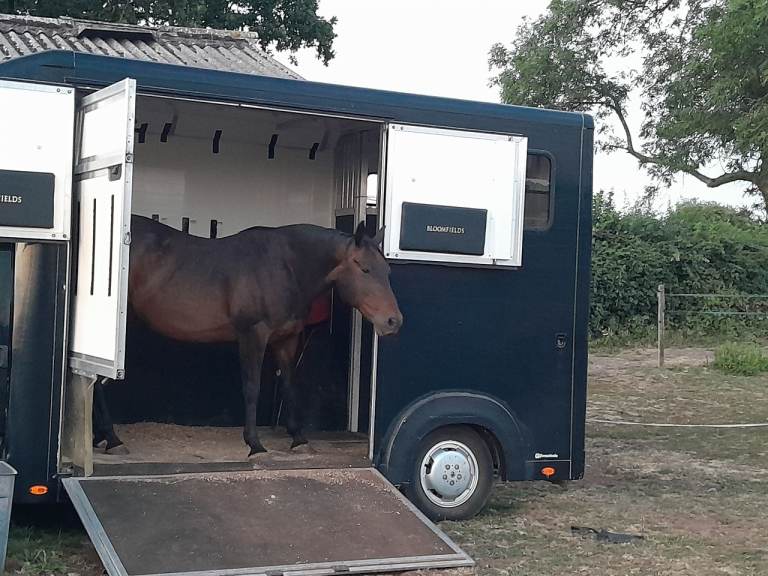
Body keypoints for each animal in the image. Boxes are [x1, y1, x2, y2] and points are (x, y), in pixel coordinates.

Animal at [93, 215, 402, 457]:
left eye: (387, 270)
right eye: (364, 268)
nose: (393, 321)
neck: (285, 266)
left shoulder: (286, 340)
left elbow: (289, 385)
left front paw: (299, 439)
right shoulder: (253, 334)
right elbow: (252, 388)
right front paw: (255, 444)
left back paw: (102, 437)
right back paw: (112, 438)